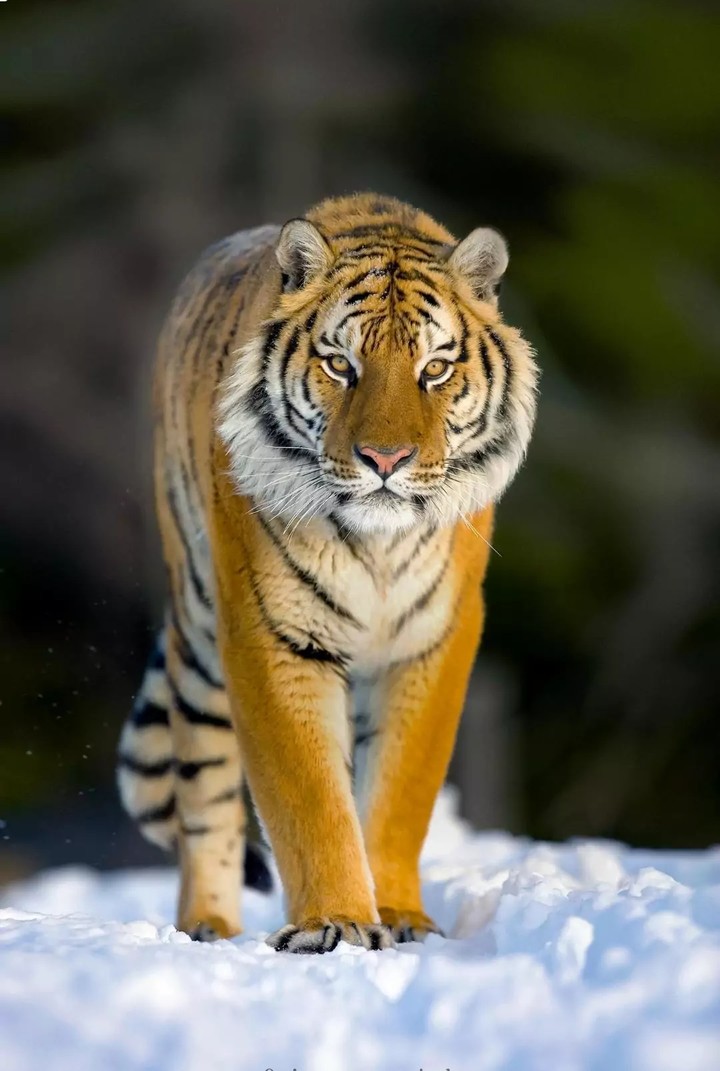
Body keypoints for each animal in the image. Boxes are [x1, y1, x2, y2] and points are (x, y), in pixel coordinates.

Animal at [117, 192, 538, 953]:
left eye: (435, 369)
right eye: (342, 365)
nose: (385, 459)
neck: (379, 546)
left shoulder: (434, 637)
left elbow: (399, 795)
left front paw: (398, 915)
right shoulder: (271, 631)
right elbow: (309, 797)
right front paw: (333, 922)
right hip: (199, 643)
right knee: (206, 801)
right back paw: (208, 926)